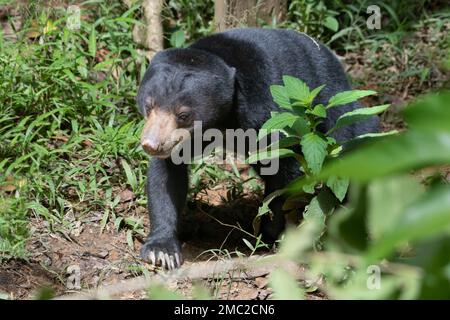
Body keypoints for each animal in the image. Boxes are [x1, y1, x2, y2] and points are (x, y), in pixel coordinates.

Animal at [135, 27, 378, 268]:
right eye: (149, 105)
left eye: (183, 115)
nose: (151, 144)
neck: (223, 119)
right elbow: (166, 176)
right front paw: (162, 251)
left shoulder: (269, 111)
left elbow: (285, 172)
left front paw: (269, 234)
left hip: (343, 117)